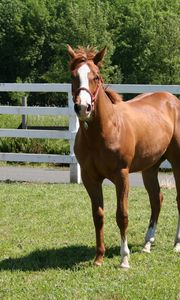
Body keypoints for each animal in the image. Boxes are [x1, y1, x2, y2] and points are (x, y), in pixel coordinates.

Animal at [67, 45, 180, 270]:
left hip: (179, 162)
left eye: (96, 76)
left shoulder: (122, 176)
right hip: (150, 169)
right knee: (156, 199)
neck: (105, 130)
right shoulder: (90, 178)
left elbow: (122, 215)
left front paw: (124, 259)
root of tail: (172, 100)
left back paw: (177, 245)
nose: (83, 107)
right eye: (74, 76)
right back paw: (147, 244)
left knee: (178, 199)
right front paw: (99, 257)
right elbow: (98, 215)